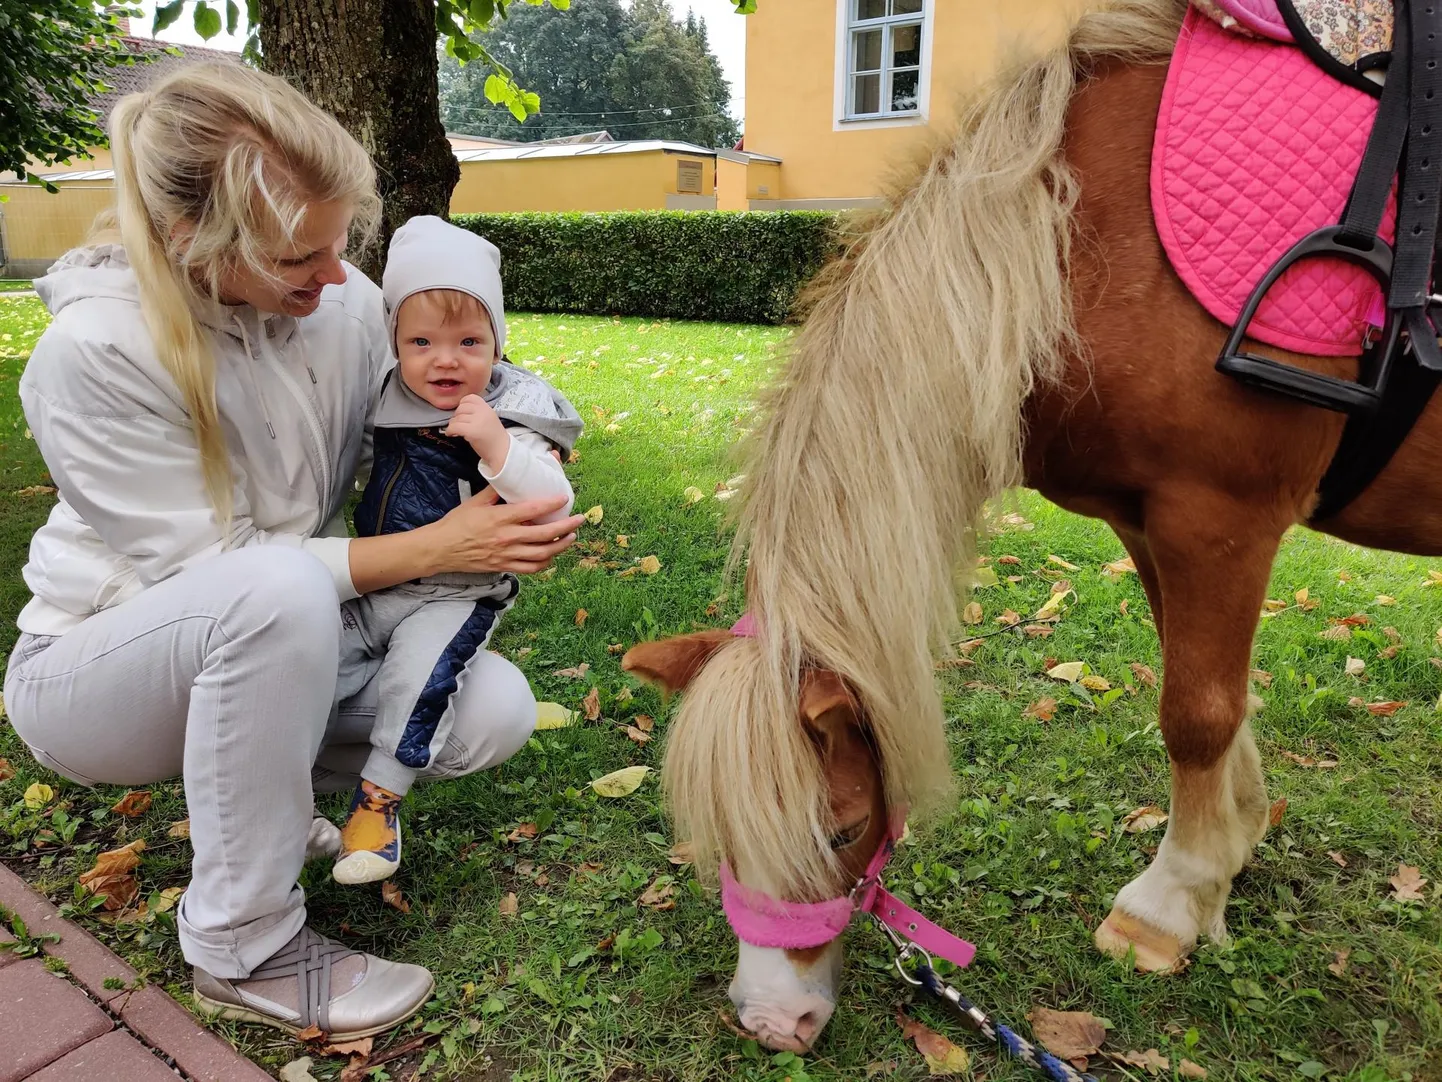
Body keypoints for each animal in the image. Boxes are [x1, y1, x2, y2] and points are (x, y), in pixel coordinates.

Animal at [625, 0, 1436, 1061]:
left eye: (839, 833)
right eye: (717, 841)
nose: (772, 1022)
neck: (1074, 248)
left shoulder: (1219, 518)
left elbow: (1197, 713)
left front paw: (1167, 907)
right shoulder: (1152, 525)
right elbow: (1208, 691)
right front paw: (1232, 849)